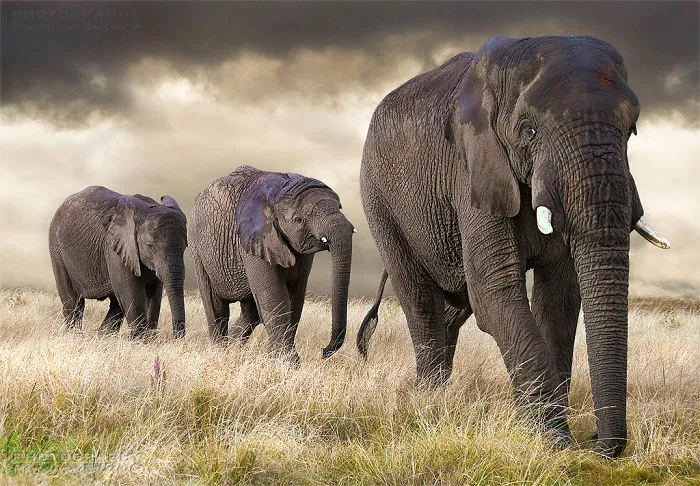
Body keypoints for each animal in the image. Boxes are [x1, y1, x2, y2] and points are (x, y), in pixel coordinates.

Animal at [49, 186, 188, 338]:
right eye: (149, 245)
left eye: (185, 247)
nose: (176, 340)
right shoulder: (115, 248)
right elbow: (132, 295)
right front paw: (141, 341)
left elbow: (154, 295)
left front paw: (149, 340)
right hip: (57, 250)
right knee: (73, 302)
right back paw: (74, 334)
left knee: (115, 304)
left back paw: (103, 336)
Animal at [188, 165, 354, 363]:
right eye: (298, 219)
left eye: (340, 207)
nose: (323, 351)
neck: (281, 191)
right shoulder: (253, 238)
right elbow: (274, 297)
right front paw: (287, 363)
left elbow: (294, 299)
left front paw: (274, 358)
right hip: (198, 247)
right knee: (217, 308)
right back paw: (220, 352)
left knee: (251, 313)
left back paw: (234, 350)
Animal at [356, 36, 669, 457]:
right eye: (528, 130)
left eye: (632, 130)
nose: (598, 443)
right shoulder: (471, 168)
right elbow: (497, 292)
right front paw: (555, 443)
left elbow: (559, 299)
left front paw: (547, 436)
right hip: (378, 200)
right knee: (419, 297)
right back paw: (427, 398)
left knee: (454, 307)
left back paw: (438, 395)